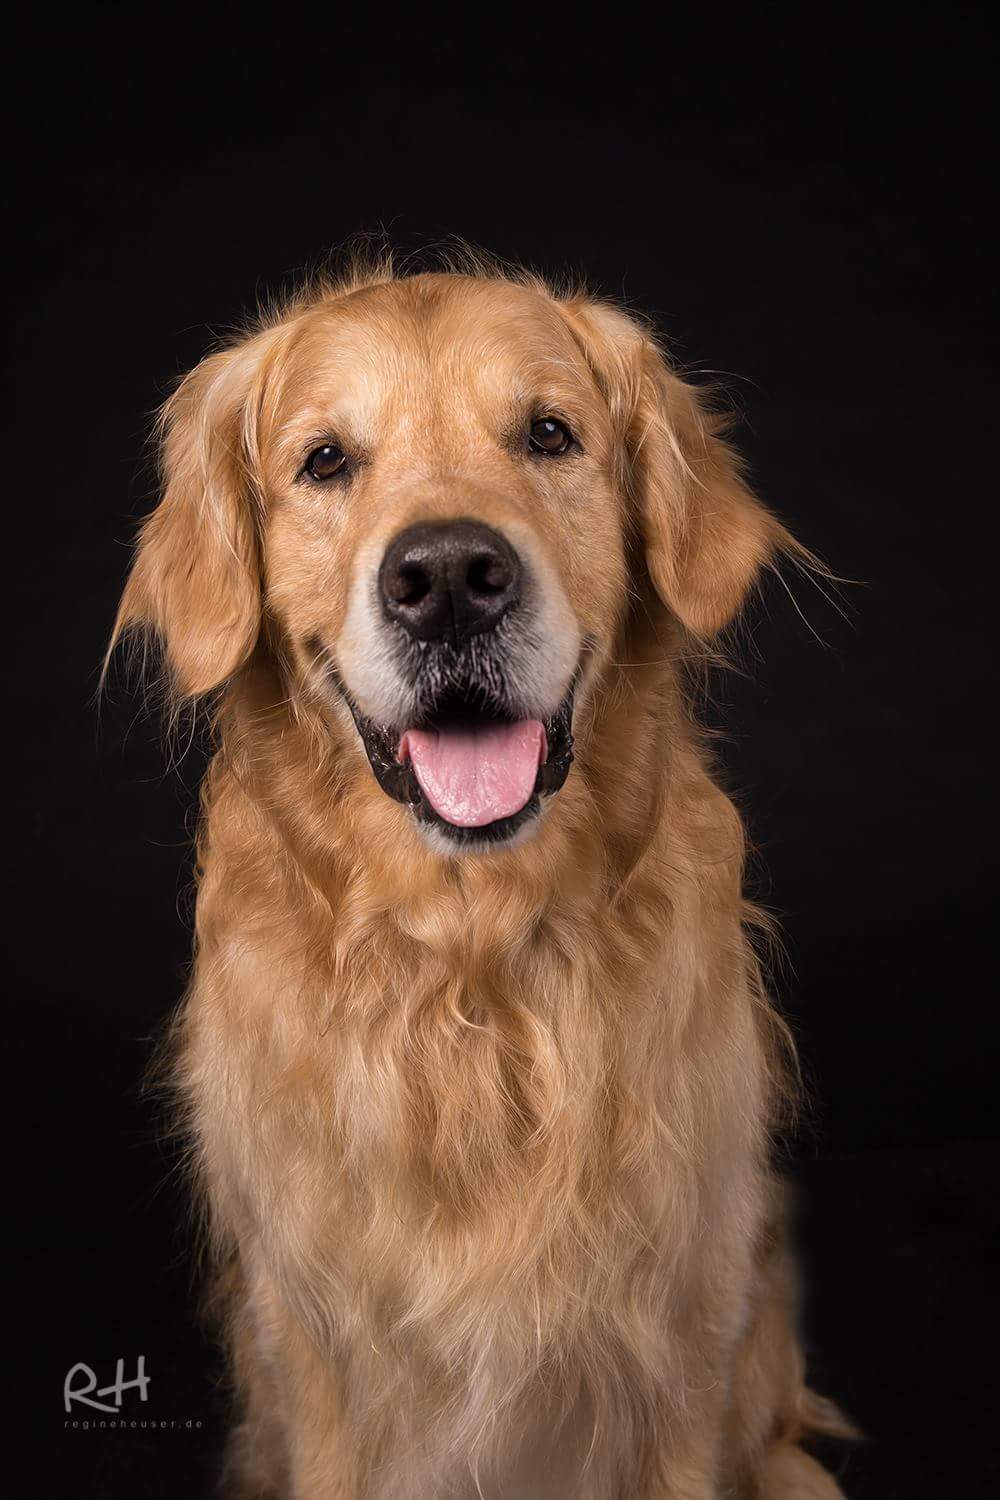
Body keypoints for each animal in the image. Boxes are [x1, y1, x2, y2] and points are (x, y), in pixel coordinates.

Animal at [111, 252, 851, 1498]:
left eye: (549, 434)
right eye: (324, 460)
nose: (450, 577)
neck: (474, 960)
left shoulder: (683, 1323)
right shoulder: (318, 1349)